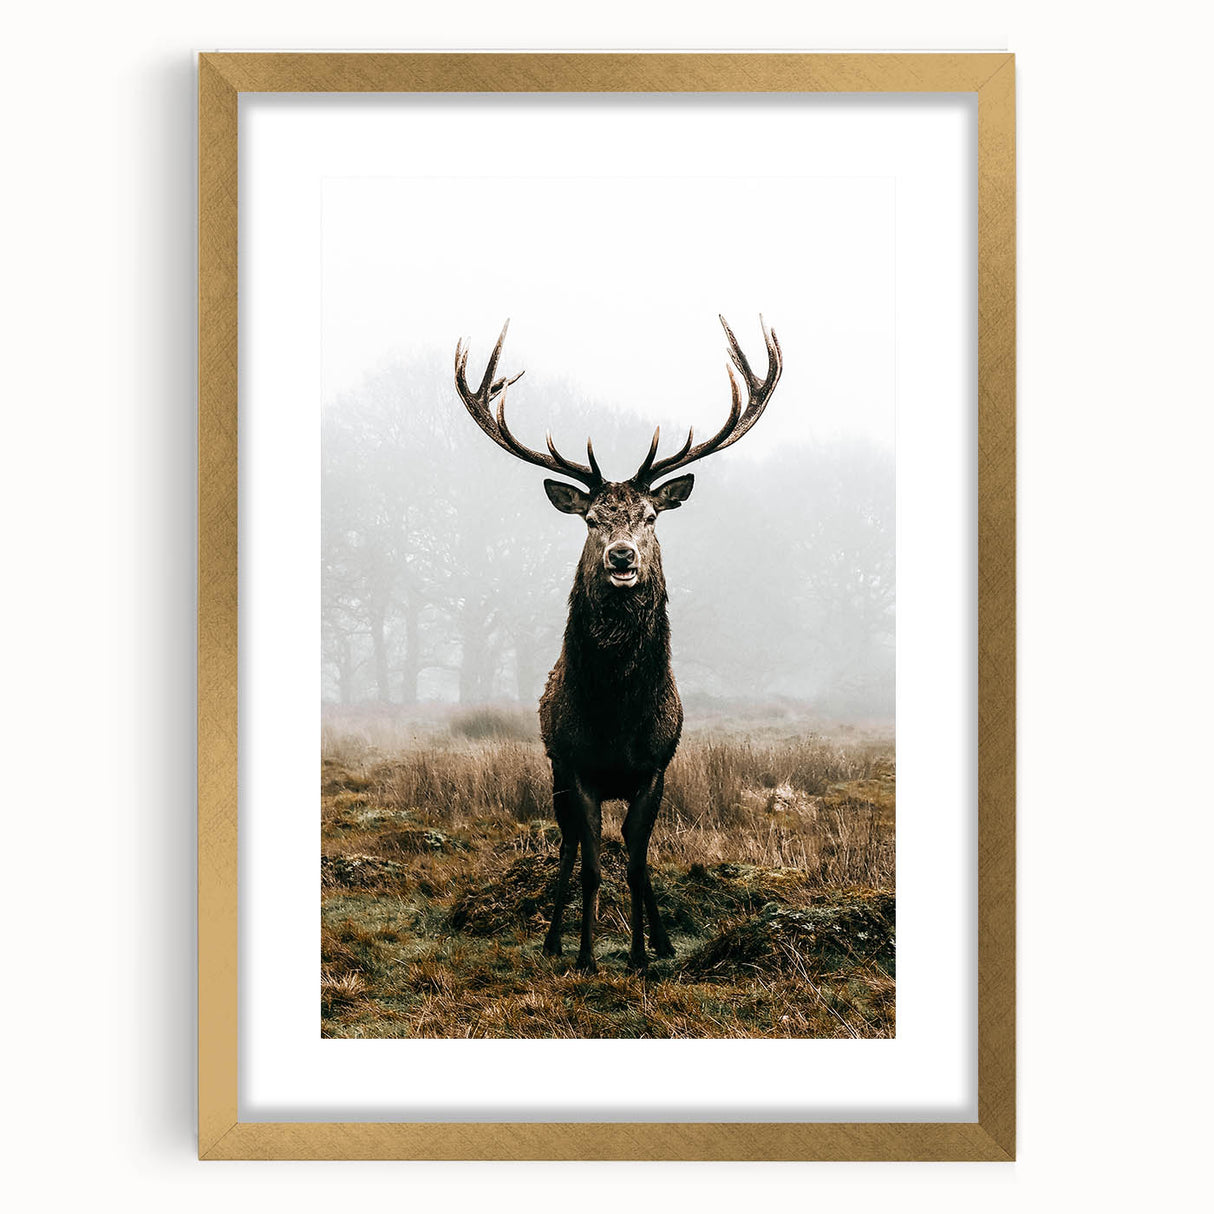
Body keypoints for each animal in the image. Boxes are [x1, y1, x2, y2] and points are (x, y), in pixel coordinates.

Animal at [454, 316, 783, 974]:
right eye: (591, 520)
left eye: (651, 516)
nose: (622, 557)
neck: (615, 716)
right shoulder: (577, 766)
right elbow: (590, 865)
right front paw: (585, 955)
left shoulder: (653, 769)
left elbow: (635, 861)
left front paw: (639, 955)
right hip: (554, 771)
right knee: (567, 848)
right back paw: (555, 939)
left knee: (635, 855)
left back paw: (660, 940)